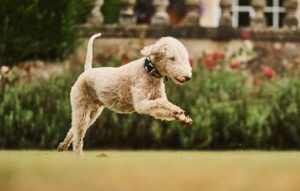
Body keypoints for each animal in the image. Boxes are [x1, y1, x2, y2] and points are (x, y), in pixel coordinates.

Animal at [57, 33, 192, 155]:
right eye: (172, 58)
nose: (188, 77)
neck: (149, 71)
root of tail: (87, 71)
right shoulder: (141, 104)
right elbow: (162, 103)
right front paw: (177, 110)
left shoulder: (152, 103)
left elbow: (162, 110)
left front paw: (182, 118)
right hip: (81, 107)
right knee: (78, 136)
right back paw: (78, 157)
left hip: (92, 113)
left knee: (74, 130)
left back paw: (62, 146)